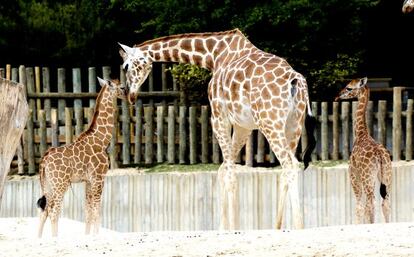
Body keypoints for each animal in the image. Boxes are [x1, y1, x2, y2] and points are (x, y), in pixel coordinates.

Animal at [38, 77, 131, 236]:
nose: (130, 96)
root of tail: (44, 161)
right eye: (122, 87)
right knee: (54, 212)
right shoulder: (99, 177)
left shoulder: (87, 180)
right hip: (60, 184)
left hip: (47, 184)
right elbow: (96, 211)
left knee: (44, 211)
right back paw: (55, 238)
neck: (101, 139)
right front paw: (96, 236)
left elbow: (88, 212)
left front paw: (88, 236)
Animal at [119, 29, 316, 229]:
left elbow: (229, 171)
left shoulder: (218, 116)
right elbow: (224, 169)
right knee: (290, 166)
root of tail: (296, 81)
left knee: (289, 164)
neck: (213, 55)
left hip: (270, 122)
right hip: (293, 125)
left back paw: (298, 226)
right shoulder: (243, 125)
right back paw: (278, 227)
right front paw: (224, 227)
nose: (129, 94)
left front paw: (233, 228)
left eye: (125, 67)